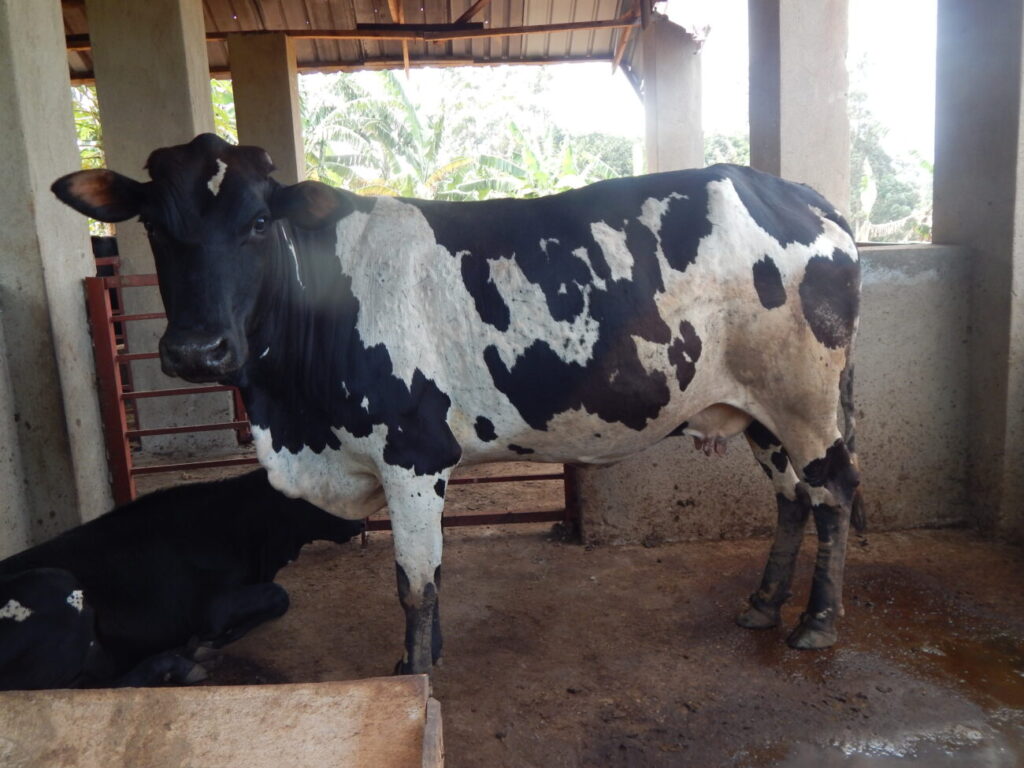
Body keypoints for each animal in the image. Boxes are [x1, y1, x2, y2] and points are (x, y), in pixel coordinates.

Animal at [0, 469, 363, 689]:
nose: (362, 520)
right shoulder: (212, 605)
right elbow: (279, 594)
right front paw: (212, 641)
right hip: (56, 586)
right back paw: (176, 663)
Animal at [53, 133, 862, 675]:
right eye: (154, 224)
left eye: (257, 221)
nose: (197, 349)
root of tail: (800, 196)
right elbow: (428, 579)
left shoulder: (412, 455)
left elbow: (415, 582)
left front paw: (415, 673)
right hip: (757, 411)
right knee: (791, 498)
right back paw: (763, 603)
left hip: (805, 401)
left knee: (832, 494)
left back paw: (817, 620)